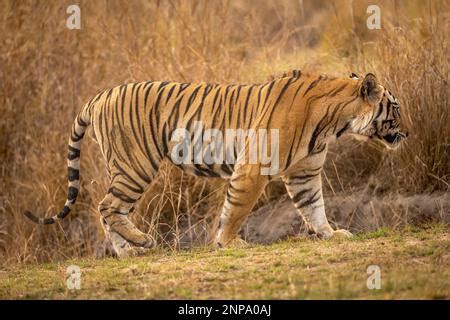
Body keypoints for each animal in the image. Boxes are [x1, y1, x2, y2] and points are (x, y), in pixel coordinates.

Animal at [23, 70, 408, 258]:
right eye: (396, 107)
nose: (407, 132)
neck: (334, 121)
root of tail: (100, 95)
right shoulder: (254, 166)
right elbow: (236, 208)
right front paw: (228, 243)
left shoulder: (305, 172)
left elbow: (314, 207)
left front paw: (330, 233)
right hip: (136, 164)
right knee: (107, 206)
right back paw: (141, 242)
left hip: (124, 167)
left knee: (109, 210)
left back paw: (127, 251)